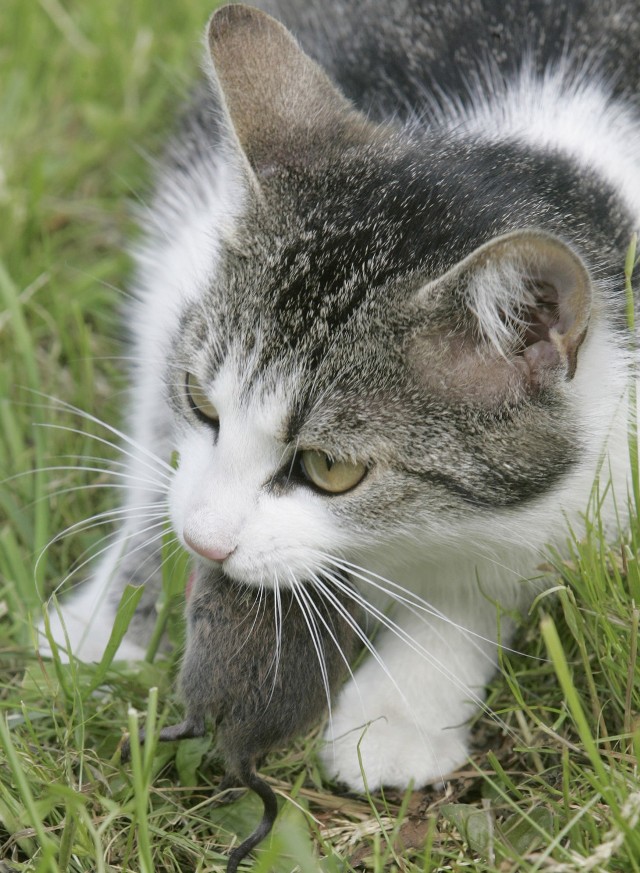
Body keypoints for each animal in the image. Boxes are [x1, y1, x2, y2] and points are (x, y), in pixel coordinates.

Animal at [40, 0, 640, 792]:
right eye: (202, 400)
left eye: (332, 469)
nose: (206, 541)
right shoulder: (175, 271)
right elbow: (158, 471)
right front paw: (110, 622)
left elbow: (492, 572)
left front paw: (400, 708)